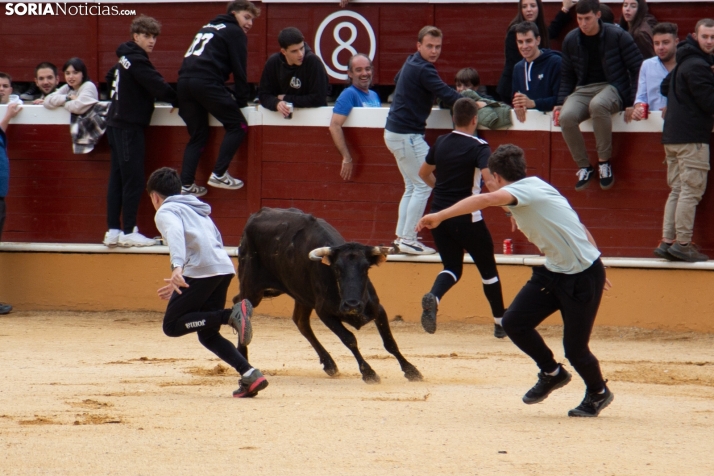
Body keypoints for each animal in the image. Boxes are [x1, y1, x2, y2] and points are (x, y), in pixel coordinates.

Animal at [234, 207, 422, 384]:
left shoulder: (378, 309)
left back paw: (329, 364)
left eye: (366, 268)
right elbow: (349, 339)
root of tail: (255, 215)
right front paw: (369, 373)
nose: (352, 305)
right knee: (241, 304)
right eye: (337, 269)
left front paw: (411, 370)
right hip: (252, 288)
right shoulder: (324, 313)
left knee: (300, 321)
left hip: (300, 294)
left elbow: (390, 342)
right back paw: (244, 359)